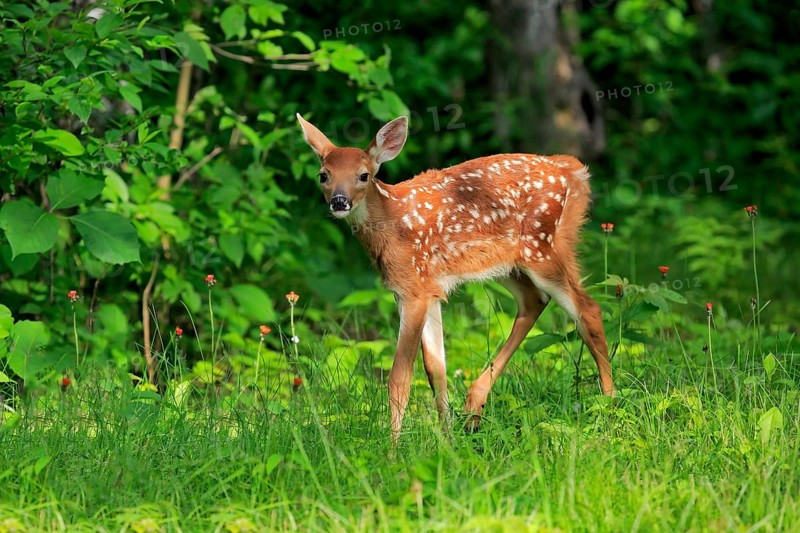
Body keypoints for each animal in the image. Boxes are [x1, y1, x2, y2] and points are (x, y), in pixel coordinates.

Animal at [296, 113, 615, 443]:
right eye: (323, 175)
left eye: (363, 175)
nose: (339, 201)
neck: (394, 224)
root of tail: (572, 170)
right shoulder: (427, 288)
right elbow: (436, 369)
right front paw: (446, 436)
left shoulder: (414, 289)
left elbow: (400, 377)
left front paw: (392, 446)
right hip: (507, 264)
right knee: (534, 301)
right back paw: (474, 406)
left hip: (542, 248)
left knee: (588, 309)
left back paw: (609, 406)